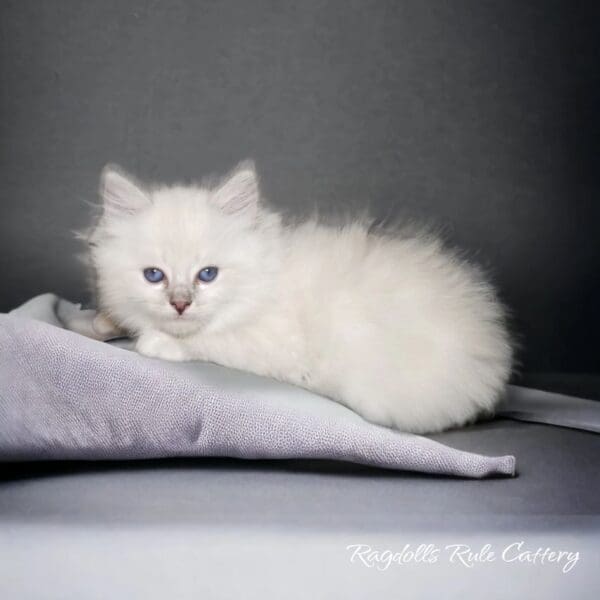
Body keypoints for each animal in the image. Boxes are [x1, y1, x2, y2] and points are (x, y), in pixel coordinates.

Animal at [86, 162, 512, 434]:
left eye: (207, 274)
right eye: (153, 275)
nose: (180, 304)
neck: (264, 278)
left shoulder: (270, 344)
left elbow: (209, 341)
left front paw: (155, 342)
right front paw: (100, 322)